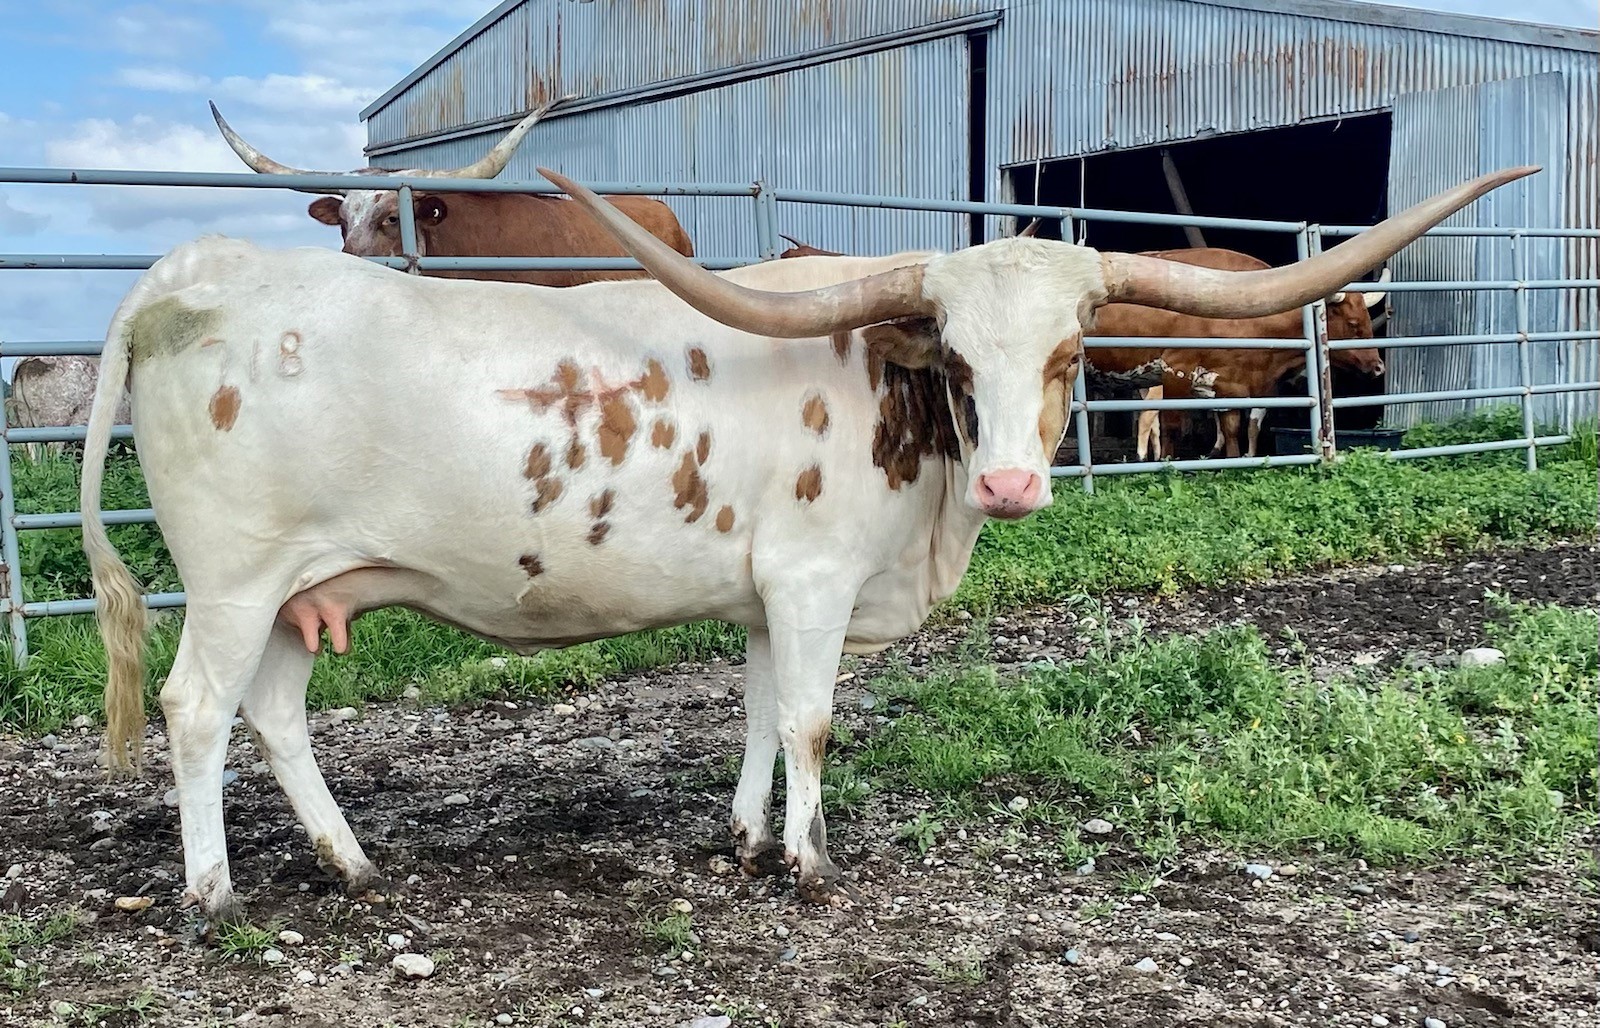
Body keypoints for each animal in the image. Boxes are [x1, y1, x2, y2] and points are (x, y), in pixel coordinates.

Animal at [79, 165, 1533, 920]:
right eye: (954, 352)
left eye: (1069, 353)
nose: (1013, 481)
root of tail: (198, 272)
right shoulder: (819, 579)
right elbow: (816, 719)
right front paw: (813, 859)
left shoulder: (770, 590)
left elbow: (759, 712)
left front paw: (746, 837)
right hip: (233, 582)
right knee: (199, 710)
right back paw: (211, 891)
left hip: (298, 589)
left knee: (273, 713)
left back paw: (350, 859)